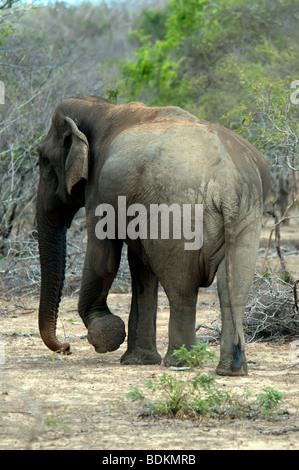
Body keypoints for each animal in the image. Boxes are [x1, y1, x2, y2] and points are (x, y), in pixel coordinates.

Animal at [36, 95, 270, 374]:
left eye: (43, 161)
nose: (67, 347)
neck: (100, 107)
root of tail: (227, 182)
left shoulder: (100, 191)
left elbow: (104, 261)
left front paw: (107, 334)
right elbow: (140, 267)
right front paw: (138, 360)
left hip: (177, 212)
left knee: (181, 287)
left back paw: (180, 363)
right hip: (246, 214)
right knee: (233, 288)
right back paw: (230, 369)